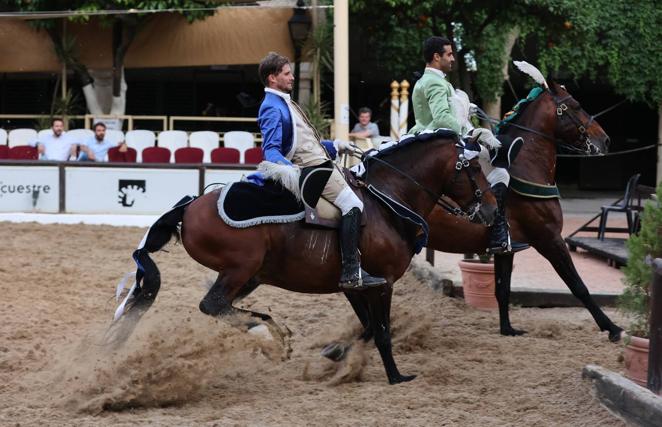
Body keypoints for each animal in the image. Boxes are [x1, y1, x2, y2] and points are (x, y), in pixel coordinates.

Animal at [116, 135, 496, 386]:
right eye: (475, 168)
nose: (492, 210)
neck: (386, 201)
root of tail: (190, 206)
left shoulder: (355, 286)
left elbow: (367, 328)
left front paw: (335, 354)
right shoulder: (382, 284)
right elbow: (383, 332)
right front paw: (396, 376)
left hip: (246, 275)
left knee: (218, 307)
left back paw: (269, 334)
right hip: (240, 269)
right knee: (212, 305)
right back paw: (268, 333)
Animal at [428, 78, 624, 342]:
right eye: (576, 105)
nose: (605, 140)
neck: (526, 166)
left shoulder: (507, 248)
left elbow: (502, 289)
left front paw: (507, 329)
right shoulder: (549, 239)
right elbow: (578, 285)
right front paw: (612, 328)